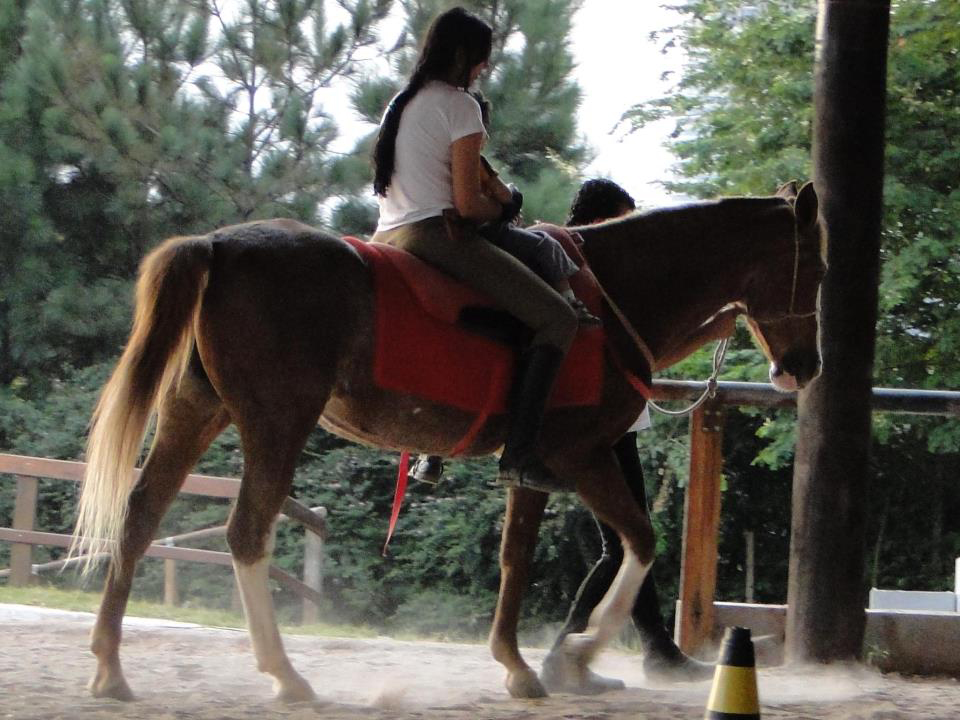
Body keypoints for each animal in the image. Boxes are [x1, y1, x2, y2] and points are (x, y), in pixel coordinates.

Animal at [75, 180, 824, 704]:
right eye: (816, 268)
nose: (804, 368)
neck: (606, 299)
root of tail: (222, 245)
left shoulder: (533, 468)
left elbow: (515, 562)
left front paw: (521, 665)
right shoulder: (580, 458)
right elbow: (641, 542)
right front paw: (579, 653)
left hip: (197, 411)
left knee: (140, 515)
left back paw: (110, 666)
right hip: (276, 422)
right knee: (247, 533)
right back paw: (284, 674)